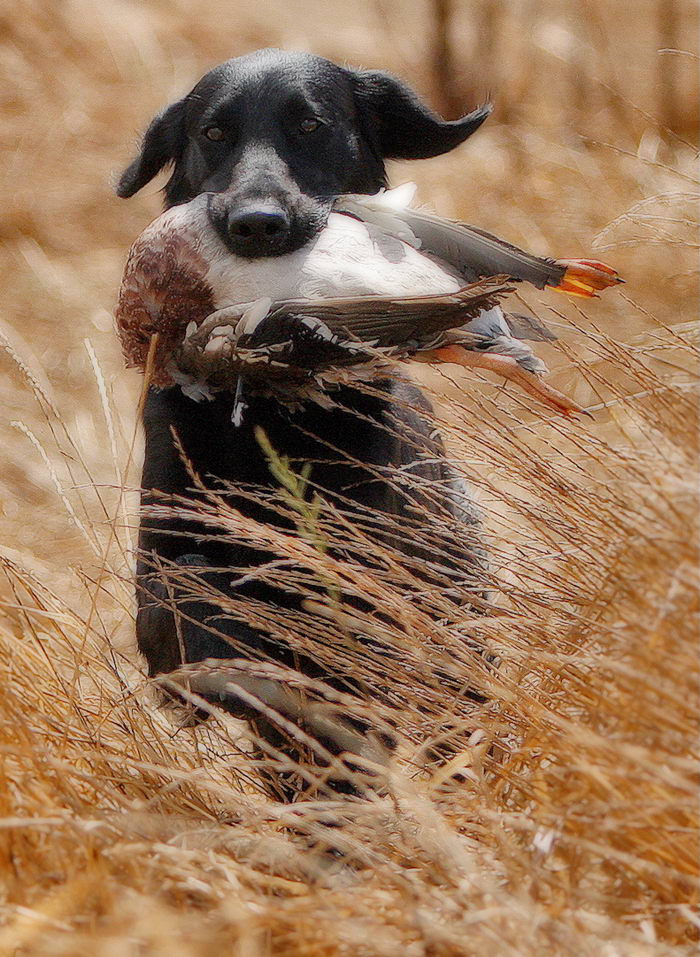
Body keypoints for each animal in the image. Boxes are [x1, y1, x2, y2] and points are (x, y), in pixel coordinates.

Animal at [117, 50, 490, 748]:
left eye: (311, 126)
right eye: (213, 132)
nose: (257, 225)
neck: (265, 409)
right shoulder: (162, 557)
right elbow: (189, 604)